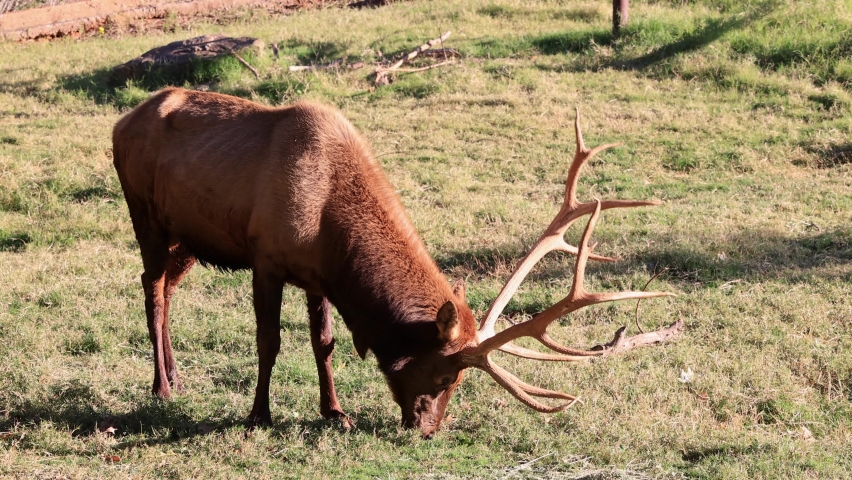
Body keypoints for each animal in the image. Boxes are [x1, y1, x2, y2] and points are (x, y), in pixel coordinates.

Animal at [112, 87, 683, 438]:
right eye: (444, 376)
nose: (428, 429)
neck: (329, 226)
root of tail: (120, 122)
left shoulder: (316, 276)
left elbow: (324, 343)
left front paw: (335, 412)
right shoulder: (267, 258)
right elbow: (269, 342)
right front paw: (258, 416)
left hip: (189, 239)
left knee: (168, 286)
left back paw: (176, 373)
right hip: (145, 214)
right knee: (150, 286)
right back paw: (161, 386)